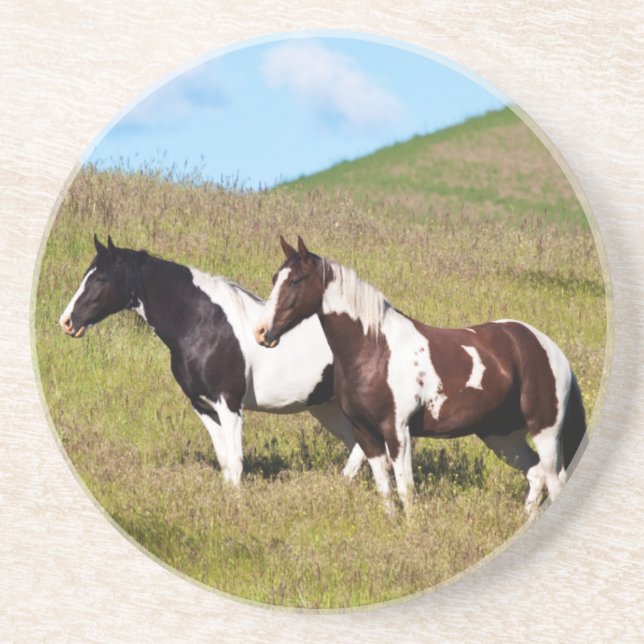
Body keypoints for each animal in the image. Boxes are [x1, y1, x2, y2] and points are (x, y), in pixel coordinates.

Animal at [58, 235, 366, 486]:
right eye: (87, 274)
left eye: (101, 279)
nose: (67, 321)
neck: (203, 324)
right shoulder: (202, 405)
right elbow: (225, 463)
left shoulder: (229, 403)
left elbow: (236, 463)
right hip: (326, 407)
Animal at [254, 236, 587, 516]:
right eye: (274, 279)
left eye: (294, 281)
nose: (262, 332)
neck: (374, 349)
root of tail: (548, 349)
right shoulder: (365, 432)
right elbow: (385, 488)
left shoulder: (398, 431)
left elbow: (406, 489)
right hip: (501, 434)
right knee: (536, 474)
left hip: (545, 430)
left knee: (554, 478)